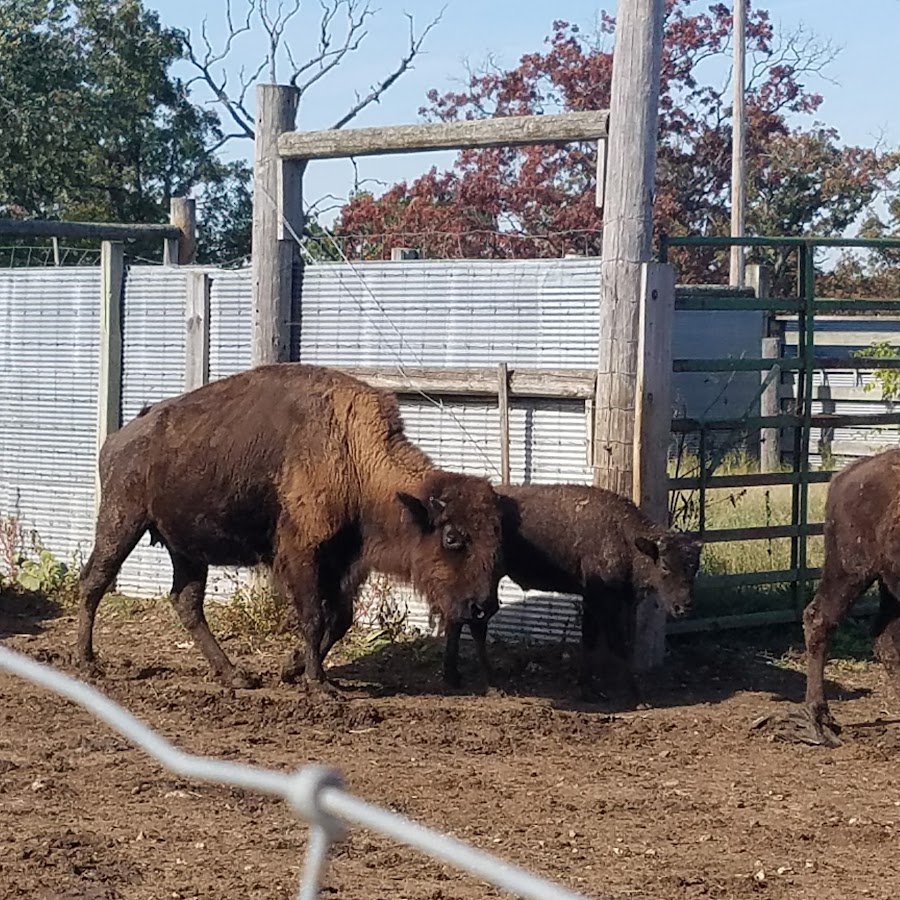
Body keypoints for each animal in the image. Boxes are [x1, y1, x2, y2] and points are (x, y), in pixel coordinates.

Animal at [75, 362, 506, 692]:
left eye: (494, 540)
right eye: (452, 538)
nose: (483, 606)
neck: (353, 454)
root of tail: (120, 436)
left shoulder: (343, 563)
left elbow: (339, 619)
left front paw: (292, 668)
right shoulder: (303, 553)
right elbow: (314, 617)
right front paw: (319, 685)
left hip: (186, 547)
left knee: (187, 602)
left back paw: (235, 675)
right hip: (121, 521)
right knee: (95, 581)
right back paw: (87, 662)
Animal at [442, 486, 704, 704]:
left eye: (694, 567)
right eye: (665, 567)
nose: (684, 606)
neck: (624, 537)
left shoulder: (592, 601)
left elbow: (589, 639)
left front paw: (586, 689)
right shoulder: (603, 601)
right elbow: (617, 644)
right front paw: (638, 697)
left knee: (462, 618)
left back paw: (456, 677)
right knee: (474, 622)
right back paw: (487, 683)